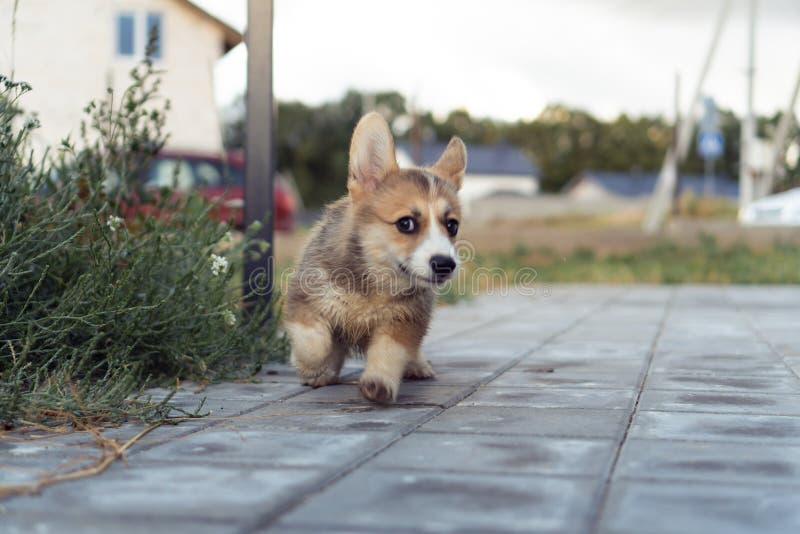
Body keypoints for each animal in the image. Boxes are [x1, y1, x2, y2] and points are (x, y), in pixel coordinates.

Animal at [286, 114, 462, 406]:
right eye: (406, 223)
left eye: (452, 226)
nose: (445, 264)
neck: (374, 283)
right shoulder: (304, 298)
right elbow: (314, 341)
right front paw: (311, 367)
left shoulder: (404, 321)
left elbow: (389, 353)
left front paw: (379, 383)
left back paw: (417, 366)